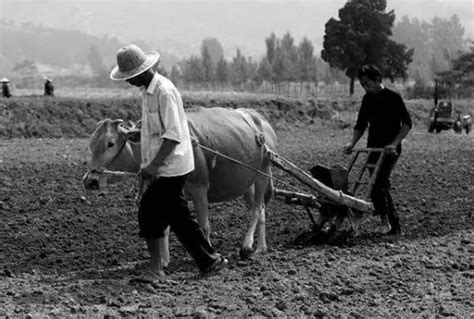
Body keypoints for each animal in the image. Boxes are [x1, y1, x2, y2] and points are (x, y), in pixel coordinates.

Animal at [83, 107, 278, 264]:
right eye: (91, 144)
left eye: (110, 143)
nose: (90, 181)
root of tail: (260, 119)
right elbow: (165, 228)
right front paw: (164, 260)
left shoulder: (199, 187)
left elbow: (203, 225)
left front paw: (211, 256)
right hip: (248, 184)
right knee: (260, 209)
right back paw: (261, 247)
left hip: (263, 173)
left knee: (257, 209)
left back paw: (247, 246)